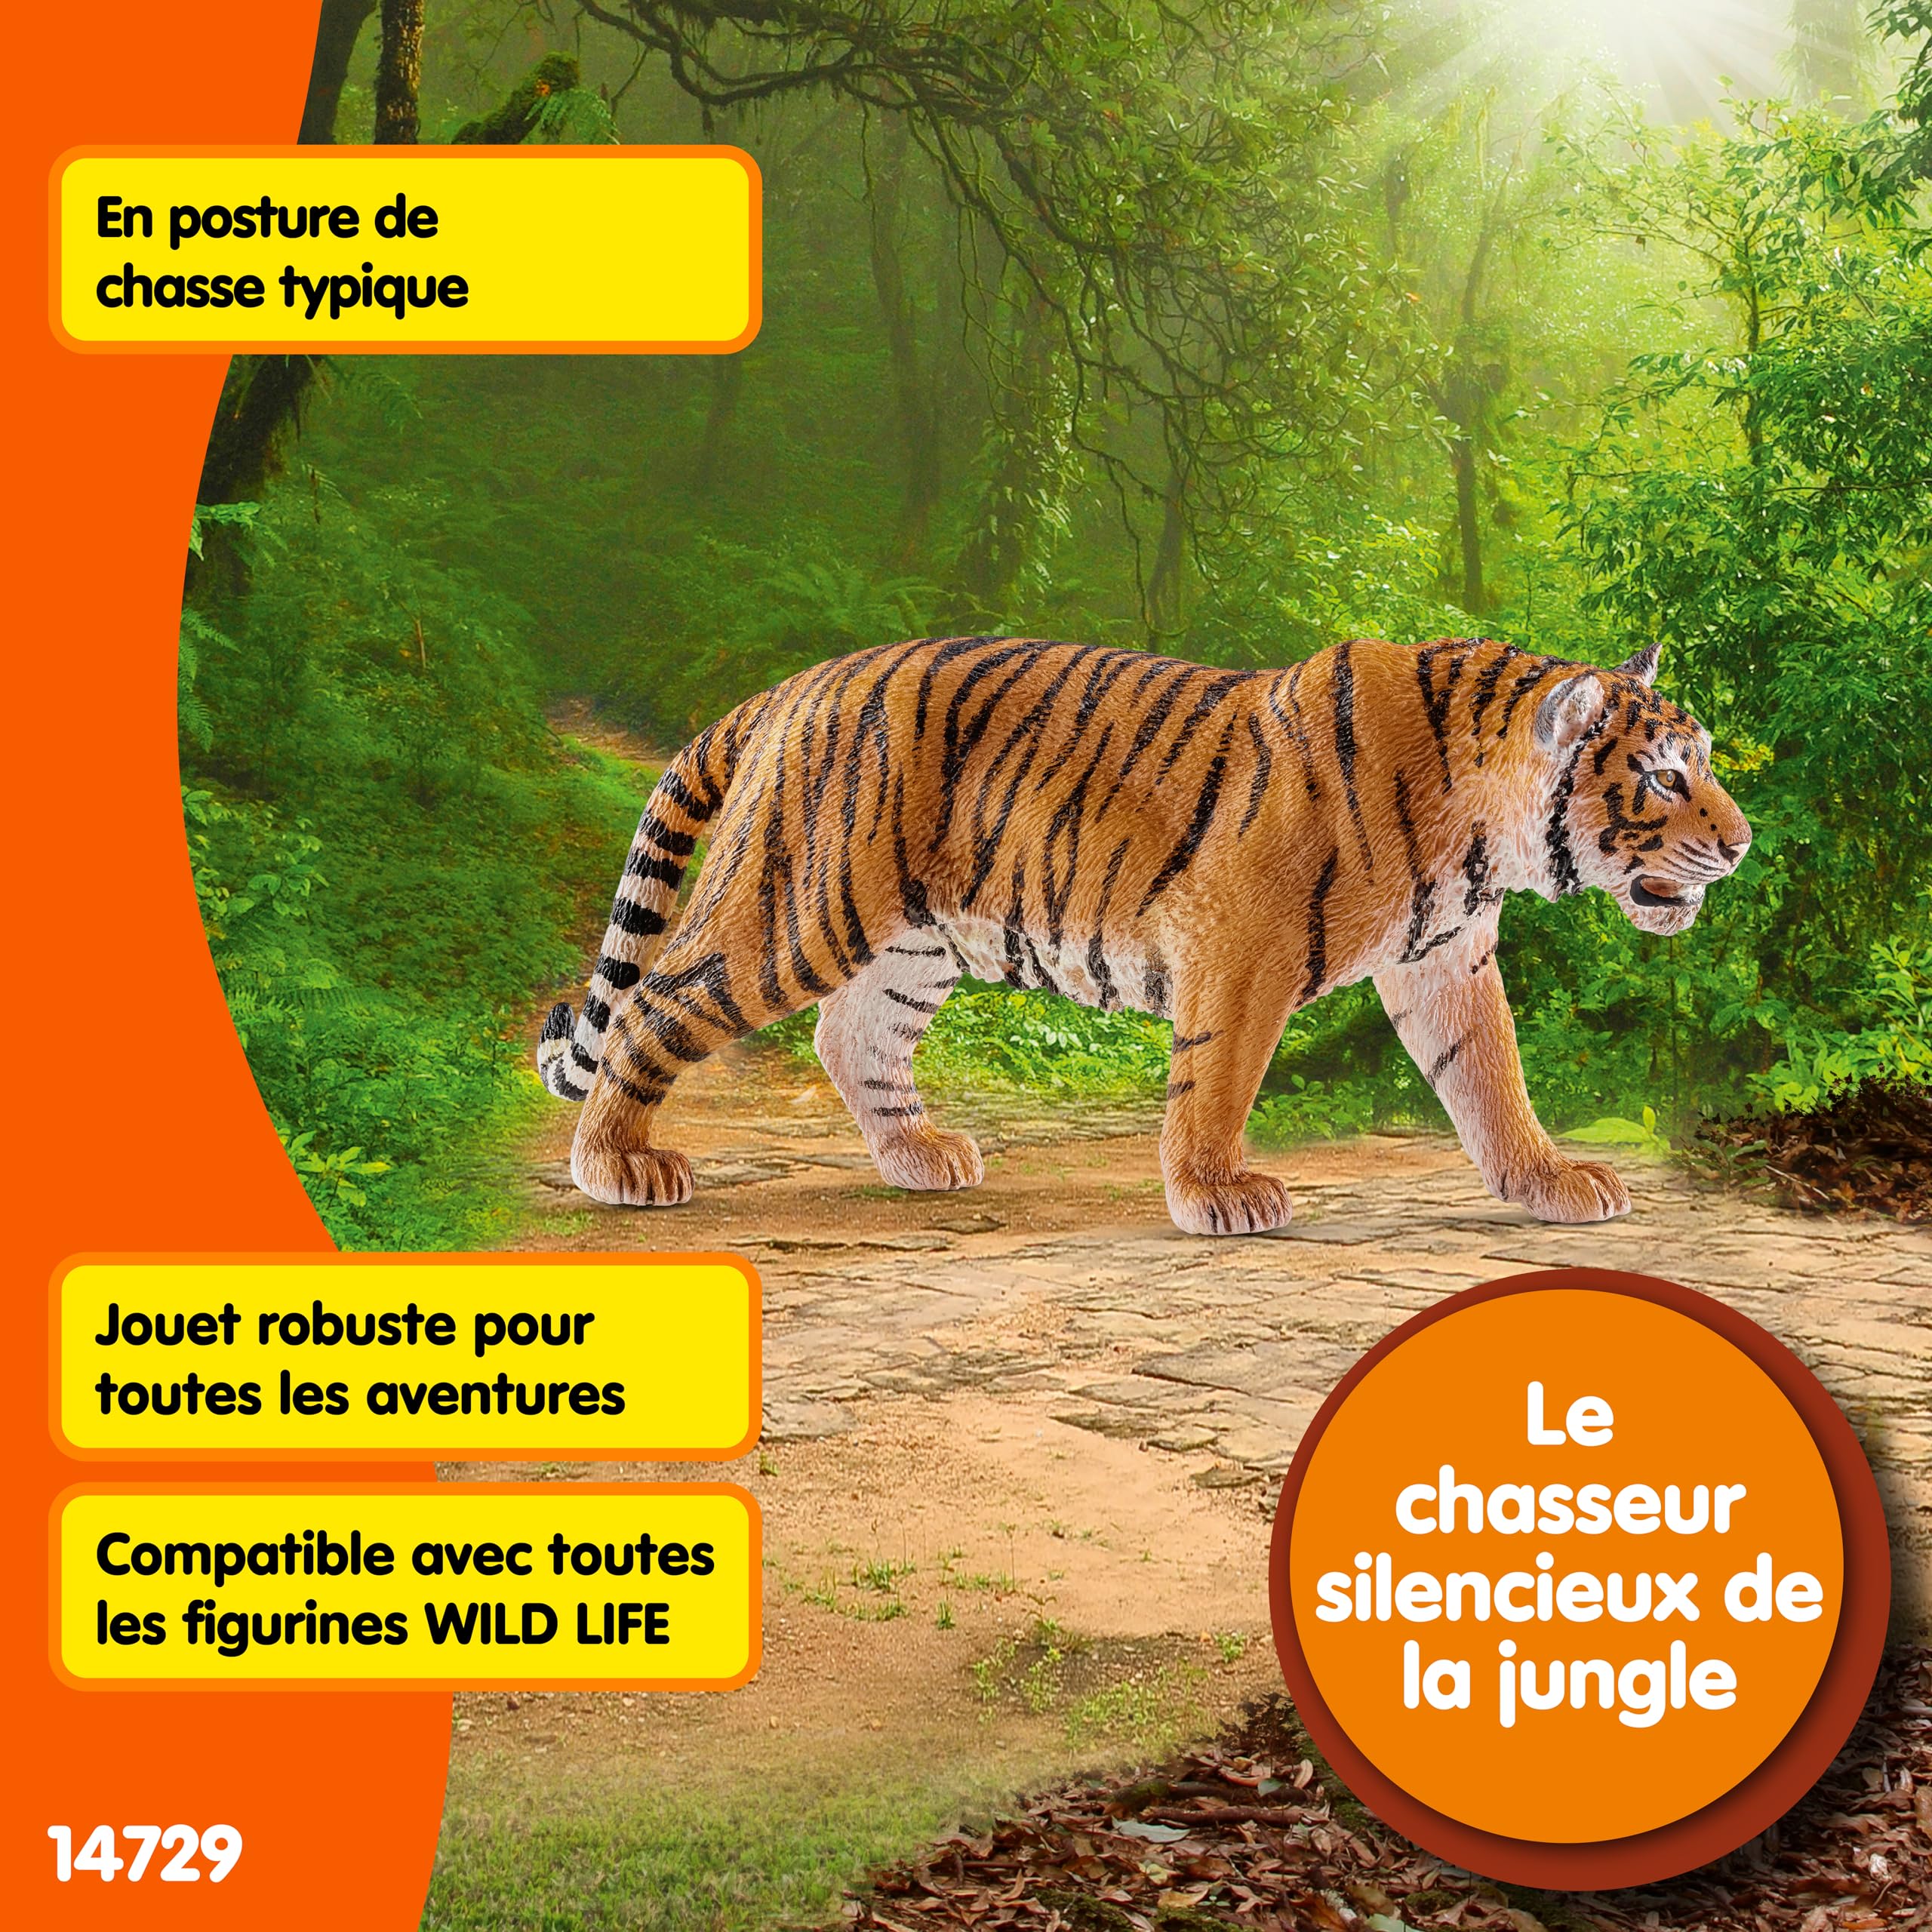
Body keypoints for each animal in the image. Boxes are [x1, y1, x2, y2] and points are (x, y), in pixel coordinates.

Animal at [536, 634, 1751, 1230]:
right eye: (1664, 775)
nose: (1743, 844)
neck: (1484, 834)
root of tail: (789, 687)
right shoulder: (1242, 946)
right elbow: (1216, 1080)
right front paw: (1216, 1194)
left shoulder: (1444, 961)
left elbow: (1492, 1079)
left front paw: (1550, 1183)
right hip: (797, 910)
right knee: (656, 1003)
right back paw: (617, 1165)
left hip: (916, 942)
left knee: (852, 1038)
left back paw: (921, 1159)